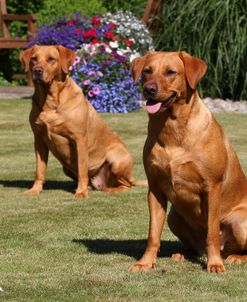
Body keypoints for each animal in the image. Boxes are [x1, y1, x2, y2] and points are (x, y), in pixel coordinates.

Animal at [20, 45, 146, 198]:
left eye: (51, 59)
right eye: (34, 59)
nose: (37, 70)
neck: (49, 100)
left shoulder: (79, 139)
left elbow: (82, 170)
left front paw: (81, 192)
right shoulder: (39, 140)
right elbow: (40, 169)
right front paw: (35, 189)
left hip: (117, 158)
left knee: (127, 185)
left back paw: (110, 189)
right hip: (66, 168)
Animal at [128, 50, 247, 272]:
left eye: (170, 72)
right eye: (147, 71)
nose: (149, 89)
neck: (172, 128)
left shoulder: (212, 187)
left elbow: (211, 233)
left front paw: (215, 264)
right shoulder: (155, 188)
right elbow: (153, 234)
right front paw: (145, 262)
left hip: (240, 222)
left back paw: (233, 257)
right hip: (174, 217)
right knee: (197, 247)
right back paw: (182, 254)